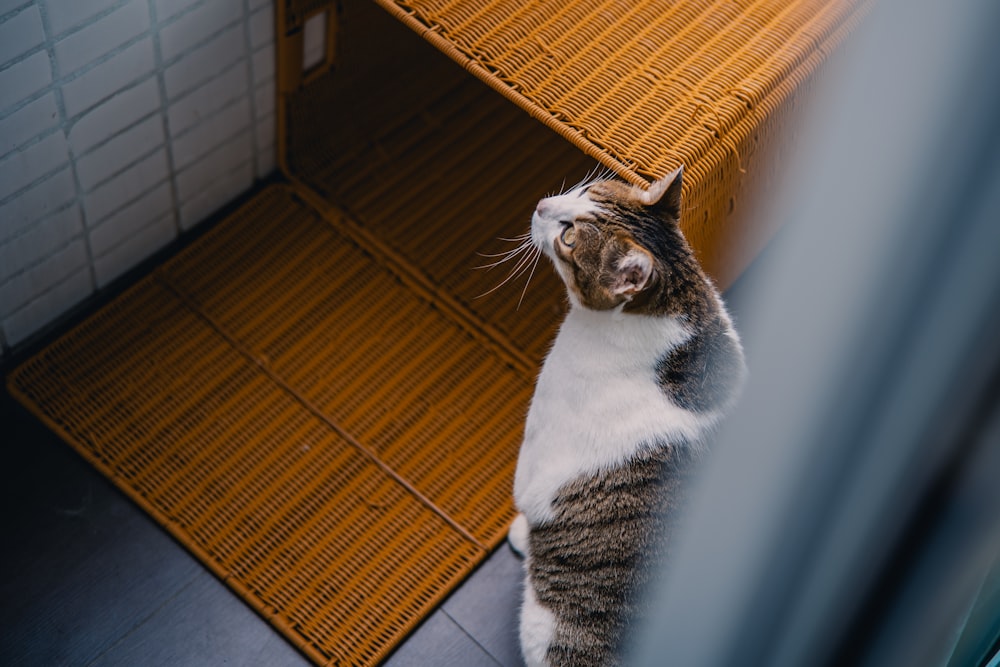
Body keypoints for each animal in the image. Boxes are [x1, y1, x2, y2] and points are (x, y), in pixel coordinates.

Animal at [508, 168, 744, 667]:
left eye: (569, 236)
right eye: (584, 190)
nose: (540, 204)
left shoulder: (538, 456)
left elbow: (529, 501)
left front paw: (521, 535)